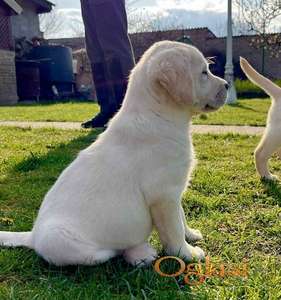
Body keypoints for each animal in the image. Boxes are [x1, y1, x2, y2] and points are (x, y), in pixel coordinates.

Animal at [0, 41, 228, 266]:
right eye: (204, 73)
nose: (227, 85)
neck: (157, 115)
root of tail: (32, 236)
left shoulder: (174, 191)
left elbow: (181, 218)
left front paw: (191, 235)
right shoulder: (163, 195)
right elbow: (173, 230)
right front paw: (187, 253)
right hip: (62, 240)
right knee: (109, 252)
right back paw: (137, 253)